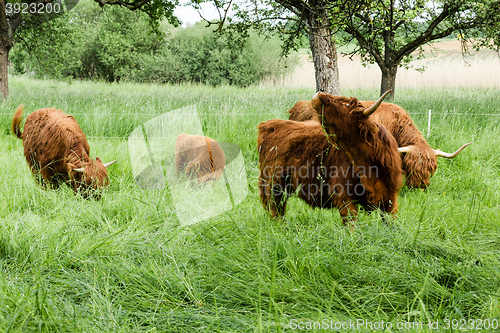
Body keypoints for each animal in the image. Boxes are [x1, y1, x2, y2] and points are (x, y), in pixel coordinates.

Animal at [258, 89, 402, 222]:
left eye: (346, 103)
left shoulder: (391, 198)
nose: (320, 93)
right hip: (274, 185)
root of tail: (268, 125)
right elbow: (352, 224)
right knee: (276, 210)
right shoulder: (344, 197)